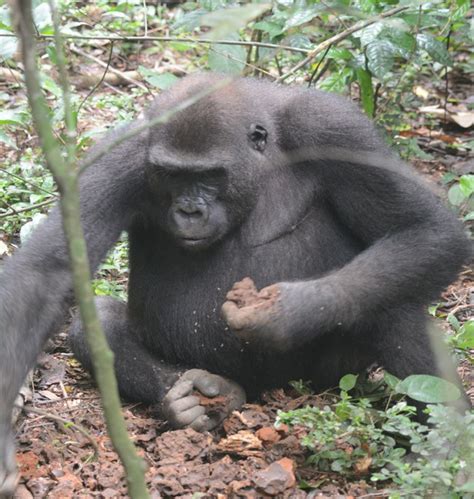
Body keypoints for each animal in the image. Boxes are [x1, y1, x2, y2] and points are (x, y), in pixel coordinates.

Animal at [0, 72, 470, 494]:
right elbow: (46, 275)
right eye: (172, 176)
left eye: (210, 175)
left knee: (391, 304)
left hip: (329, 375)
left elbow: (425, 230)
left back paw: (447, 446)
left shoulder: (333, 126)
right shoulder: (120, 154)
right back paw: (197, 400)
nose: (189, 211)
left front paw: (288, 312)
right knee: (96, 321)